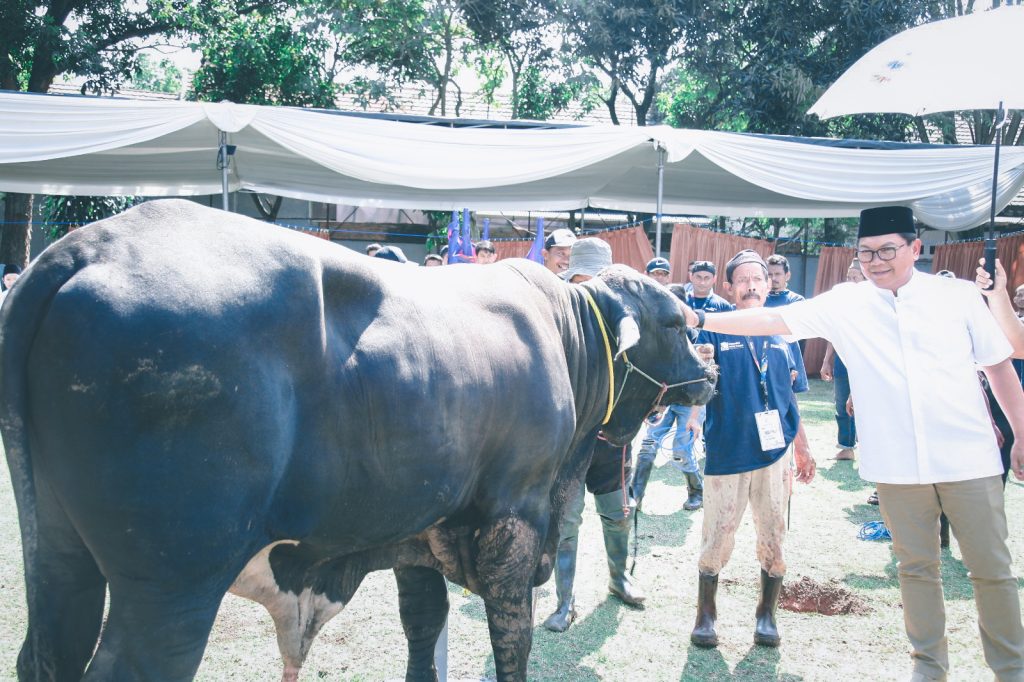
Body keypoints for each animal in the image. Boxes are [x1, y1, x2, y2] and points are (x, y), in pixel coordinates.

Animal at [0, 199, 716, 675]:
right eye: (676, 323)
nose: (710, 372)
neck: (569, 337)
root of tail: (83, 248)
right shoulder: (514, 519)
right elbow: (513, 638)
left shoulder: (419, 528)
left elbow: (424, 626)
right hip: (171, 584)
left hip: (60, 554)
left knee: (44, 651)